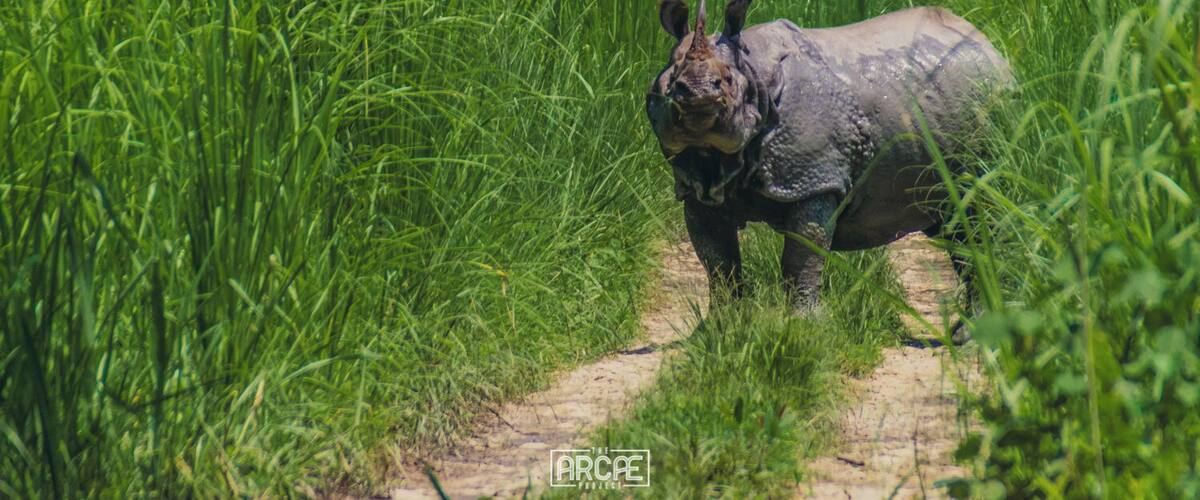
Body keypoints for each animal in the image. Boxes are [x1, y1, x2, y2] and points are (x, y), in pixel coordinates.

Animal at [646, 1, 1011, 342]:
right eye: (671, 81)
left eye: (726, 81)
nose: (697, 94)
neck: (753, 70)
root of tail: (988, 45)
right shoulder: (698, 186)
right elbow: (717, 262)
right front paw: (716, 332)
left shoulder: (815, 179)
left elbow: (802, 255)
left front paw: (802, 326)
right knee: (956, 225)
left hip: (989, 107)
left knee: (976, 212)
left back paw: (974, 337)